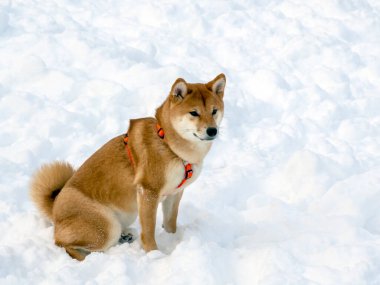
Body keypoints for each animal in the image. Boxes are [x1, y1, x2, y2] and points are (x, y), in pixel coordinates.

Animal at [30, 73, 226, 260]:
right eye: (194, 113)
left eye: (214, 111)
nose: (212, 131)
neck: (168, 145)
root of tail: (55, 210)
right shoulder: (148, 192)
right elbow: (149, 231)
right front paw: (154, 255)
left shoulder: (175, 193)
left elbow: (170, 223)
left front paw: (173, 239)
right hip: (106, 227)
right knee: (63, 244)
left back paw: (125, 236)